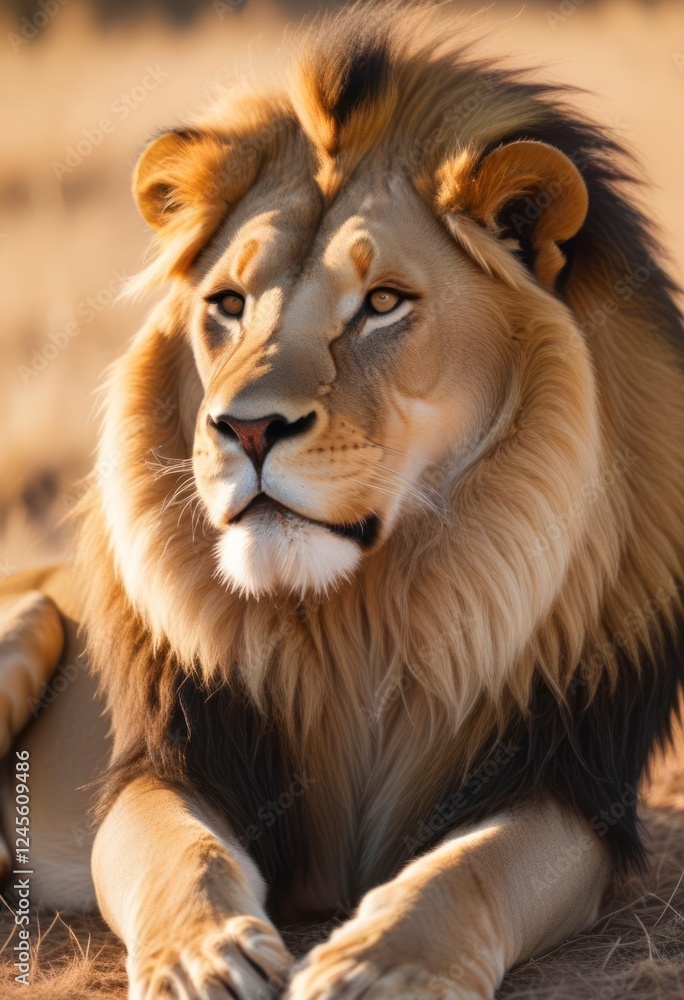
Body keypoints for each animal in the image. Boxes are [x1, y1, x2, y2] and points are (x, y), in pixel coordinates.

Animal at [1, 3, 683, 998]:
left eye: (384, 303)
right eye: (229, 304)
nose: (245, 429)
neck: (362, 612)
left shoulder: (564, 781)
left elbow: (470, 868)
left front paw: (380, 964)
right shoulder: (173, 760)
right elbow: (180, 852)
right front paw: (202, 958)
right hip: (28, 624)